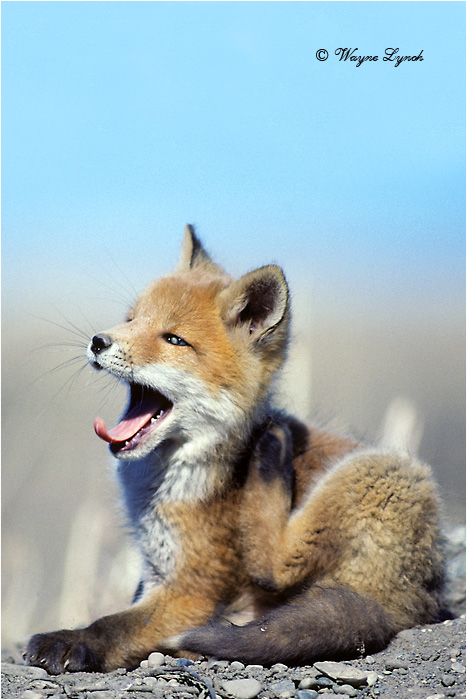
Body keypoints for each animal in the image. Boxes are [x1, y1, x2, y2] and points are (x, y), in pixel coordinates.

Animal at [26, 225, 446, 675]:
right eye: (131, 319)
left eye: (174, 340)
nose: (98, 341)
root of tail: (416, 598)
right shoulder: (155, 569)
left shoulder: (193, 589)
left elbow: (114, 626)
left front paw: (70, 641)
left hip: (378, 469)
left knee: (273, 567)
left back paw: (272, 451)